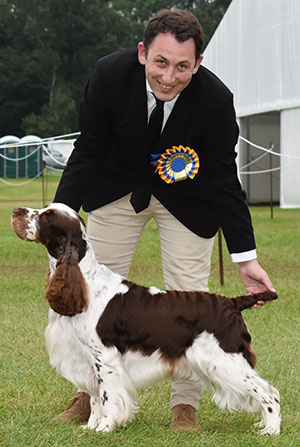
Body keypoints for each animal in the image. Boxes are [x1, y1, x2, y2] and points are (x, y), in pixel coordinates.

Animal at [10, 205, 280, 436]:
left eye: (47, 215)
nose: (15, 211)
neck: (85, 282)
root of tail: (232, 302)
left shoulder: (105, 358)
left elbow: (107, 396)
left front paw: (105, 427)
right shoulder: (85, 359)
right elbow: (95, 399)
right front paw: (90, 427)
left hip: (225, 361)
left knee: (270, 391)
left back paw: (270, 430)